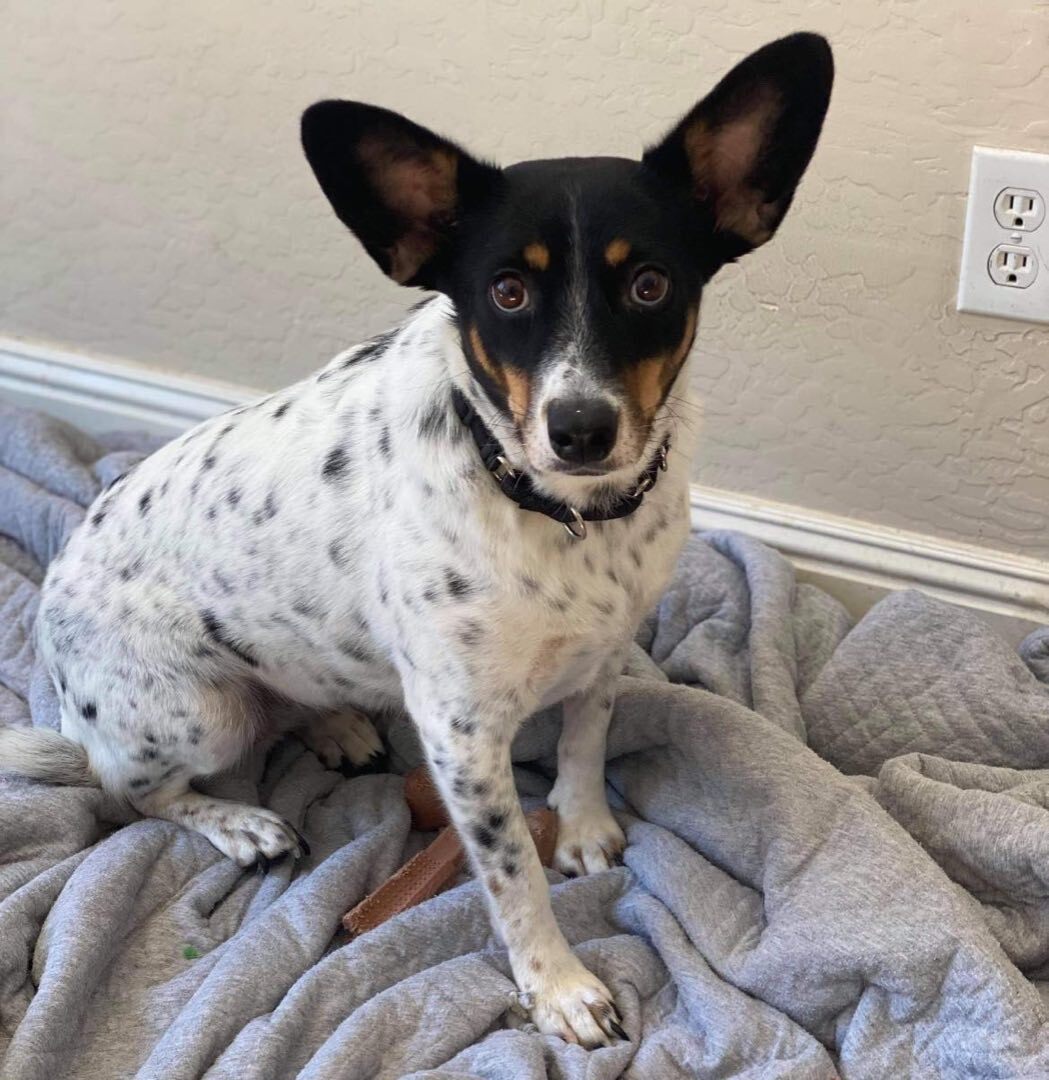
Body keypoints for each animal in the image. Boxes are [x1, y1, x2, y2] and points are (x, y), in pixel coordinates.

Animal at [4, 33, 834, 1045]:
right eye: (506, 291)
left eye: (649, 285)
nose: (580, 428)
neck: (558, 512)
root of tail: (55, 664)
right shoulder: (461, 737)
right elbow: (514, 875)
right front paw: (559, 985)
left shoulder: (606, 645)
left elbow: (586, 739)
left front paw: (582, 824)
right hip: (198, 714)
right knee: (130, 793)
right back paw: (240, 821)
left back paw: (333, 722)